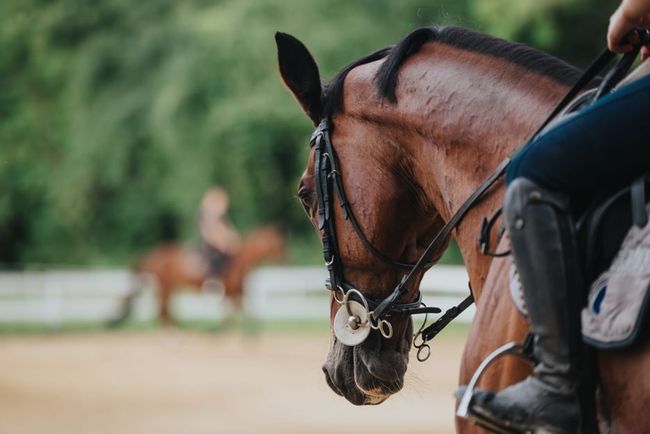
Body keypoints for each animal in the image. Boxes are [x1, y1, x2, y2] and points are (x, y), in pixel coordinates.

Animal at [110, 226, 285, 325]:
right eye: (277, 245)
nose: (285, 259)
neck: (238, 262)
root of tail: (151, 254)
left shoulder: (235, 294)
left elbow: (244, 314)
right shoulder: (232, 294)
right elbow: (237, 315)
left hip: (169, 289)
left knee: (165, 312)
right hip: (165, 287)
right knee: (164, 312)